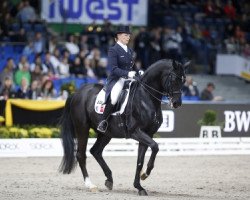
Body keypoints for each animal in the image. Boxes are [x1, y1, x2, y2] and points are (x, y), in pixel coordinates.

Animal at [59, 59, 188, 195]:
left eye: (183, 80)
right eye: (173, 79)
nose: (177, 103)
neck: (146, 98)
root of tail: (77, 93)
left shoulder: (147, 134)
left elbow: (140, 161)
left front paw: (139, 186)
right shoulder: (135, 131)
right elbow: (155, 146)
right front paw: (145, 174)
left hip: (106, 133)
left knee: (96, 151)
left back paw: (109, 179)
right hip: (82, 128)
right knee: (81, 155)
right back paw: (91, 185)